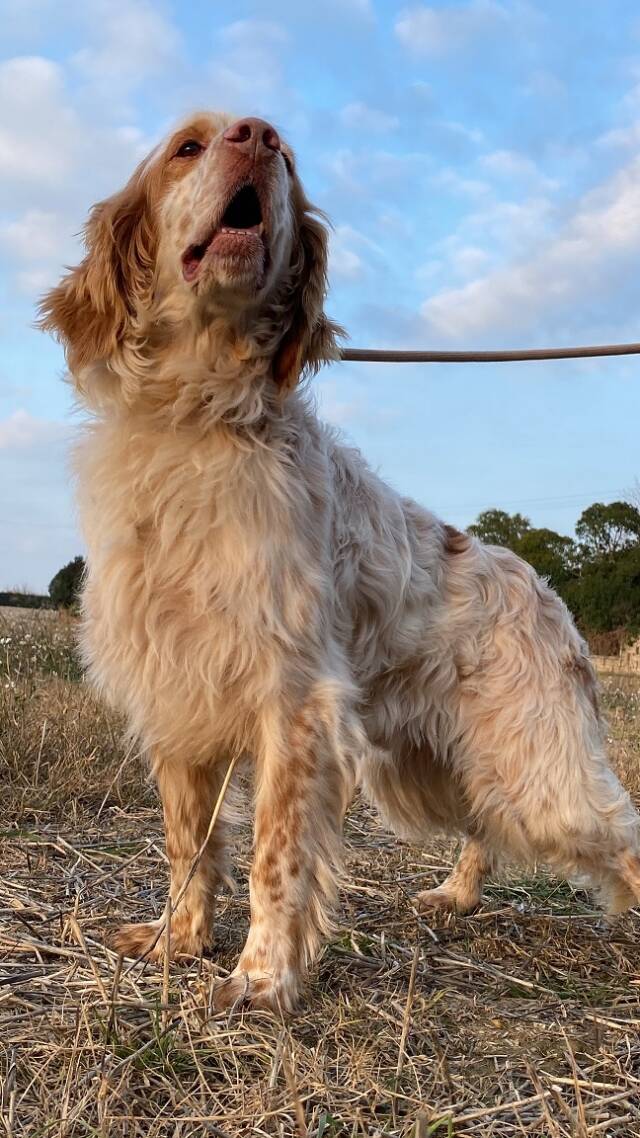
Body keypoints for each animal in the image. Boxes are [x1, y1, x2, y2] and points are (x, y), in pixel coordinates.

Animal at [40, 111, 640, 1011]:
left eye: (286, 160)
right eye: (189, 146)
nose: (258, 133)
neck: (200, 419)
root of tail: (547, 591)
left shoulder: (291, 703)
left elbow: (274, 856)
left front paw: (261, 976)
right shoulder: (177, 696)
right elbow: (189, 847)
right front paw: (179, 942)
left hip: (542, 777)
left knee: (618, 833)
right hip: (441, 769)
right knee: (484, 831)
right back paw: (456, 894)